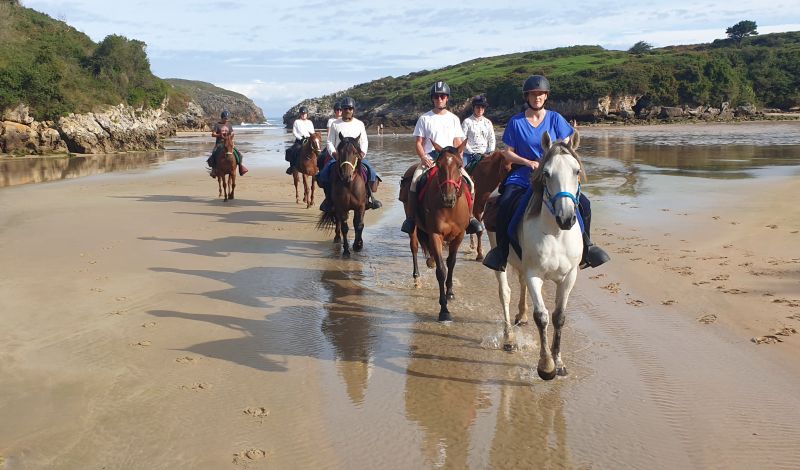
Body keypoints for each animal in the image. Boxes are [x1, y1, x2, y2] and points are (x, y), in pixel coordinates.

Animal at [404, 141, 472, 322]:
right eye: (439, 166)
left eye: (460, 165)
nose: (448, 199)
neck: (450, 209)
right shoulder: (435, 235)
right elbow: (441, 270)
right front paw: (444, 311)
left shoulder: (459, 236)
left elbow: (451, 263)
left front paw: (450, 293)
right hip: (412, 224)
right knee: (414, 247)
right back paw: (417, 278)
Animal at [484, 130, 584, 380]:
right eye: (546, 173)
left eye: (576, 171)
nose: (566, 218)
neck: (556, 233)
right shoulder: (534, 275)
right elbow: (543, 316)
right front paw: (546, 366)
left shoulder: (569, 277)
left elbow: (559, 317)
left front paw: (559, 363)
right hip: (500, 258)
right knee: (505, 293)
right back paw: (509, 339)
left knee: (519, 286)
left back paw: (522, 316)